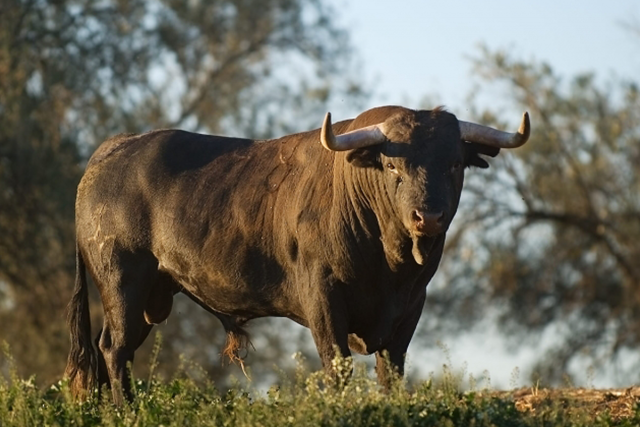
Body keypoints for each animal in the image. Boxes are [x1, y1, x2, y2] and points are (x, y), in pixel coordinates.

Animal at [64, 105, 530, 404]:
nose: (428, 216)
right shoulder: (323, 298)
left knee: (111, 353)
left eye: (454, 163)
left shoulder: (411, 307)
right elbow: (337, 365)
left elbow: (391, 371)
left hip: (149, 298)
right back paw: (125, 411)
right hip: (122, 284)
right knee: (114, 349)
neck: (389, 264)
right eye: (393, 166)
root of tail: (113, 150)